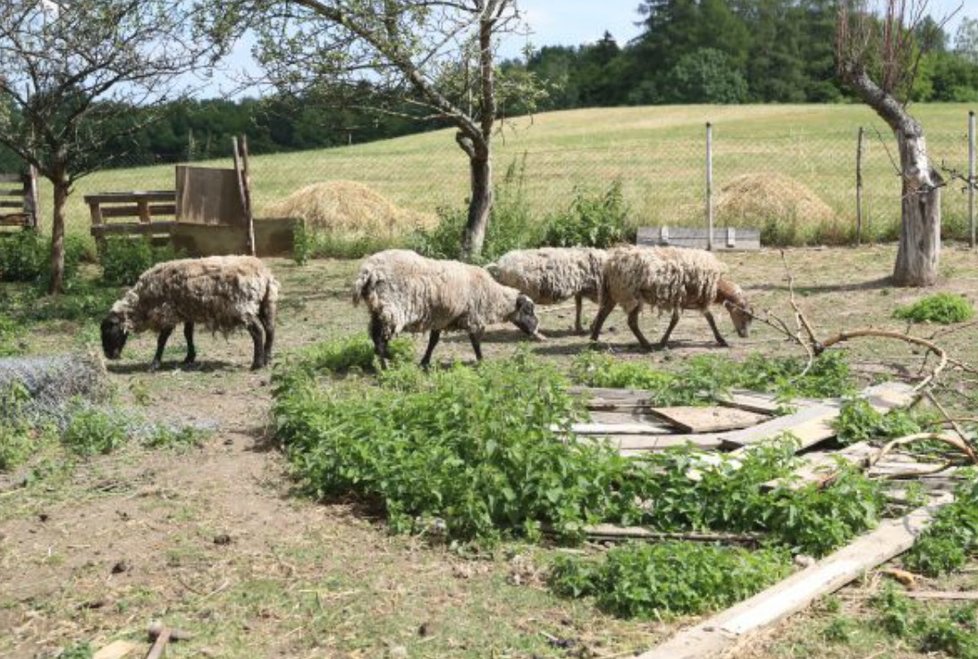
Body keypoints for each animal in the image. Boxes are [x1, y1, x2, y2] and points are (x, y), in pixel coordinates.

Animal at [100, 255, 278, 372]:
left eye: (108, 331)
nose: (109, 355)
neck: (143, 302)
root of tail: (264, 274)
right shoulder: (187, 312)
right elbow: (188, 334)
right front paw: (189, 357)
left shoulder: (168, 313)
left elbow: (162, 340)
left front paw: (154, 364)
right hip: (266, 303)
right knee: (270, 329)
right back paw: (267, 358)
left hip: (242, 306)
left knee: (257, 331)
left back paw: (257, 364)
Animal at [352, 250, 548, 368]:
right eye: (528, 310)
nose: (536, 330)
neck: (493, 296)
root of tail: (368, 271)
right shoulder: (473, 317)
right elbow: (476, 342)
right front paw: (481, 361)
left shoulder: (441, 317)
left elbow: (433, 341)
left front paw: (425, 362)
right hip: (392, 308)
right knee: (381, 340)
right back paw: (386, 364)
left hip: (378, 309)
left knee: (376, 337)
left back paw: (385, 360)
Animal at [584, 246, 752, 350]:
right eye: (745, 314)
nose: (745, 335)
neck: (716, 285)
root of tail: (610, 264)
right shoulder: (681, 298)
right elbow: (675, 321)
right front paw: (663, 342)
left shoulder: (694, 300)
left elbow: (709, 318)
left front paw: (721, 340)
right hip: (631, 294)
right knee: (631, 322)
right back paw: (647, 346)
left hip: (615, 292)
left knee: (603, 314)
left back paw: (593, 340)